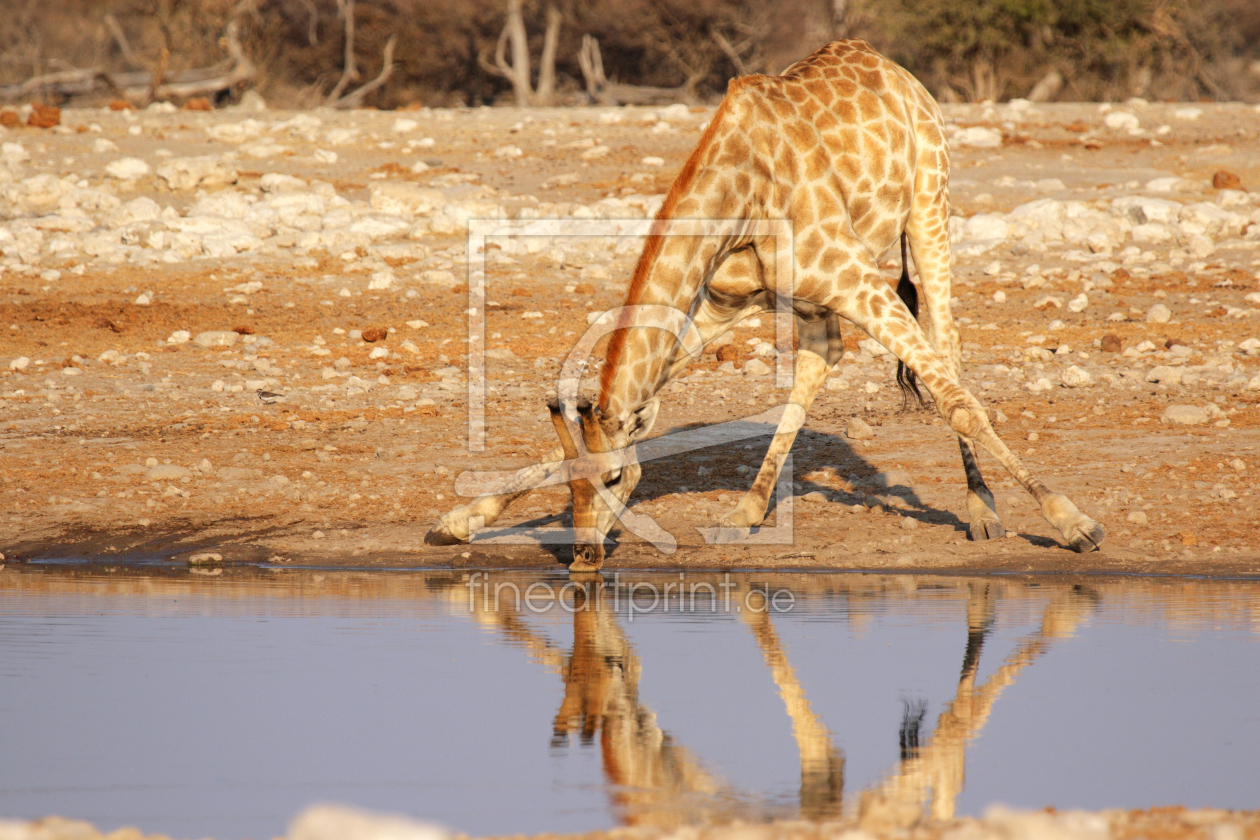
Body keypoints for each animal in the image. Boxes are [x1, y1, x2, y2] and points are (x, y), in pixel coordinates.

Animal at [430, 39, 1103, 571]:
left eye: (616, 478)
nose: (585, 557)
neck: (738, 193)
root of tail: (897, 70)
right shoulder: (720, 302)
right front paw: (459, 520)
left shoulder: (857, 279)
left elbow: (958, 402)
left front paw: (1074, 523)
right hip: (811, 294)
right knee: (823, 357)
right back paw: (748, 510)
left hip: (927, 212)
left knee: (946, 348)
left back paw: (981, 510)